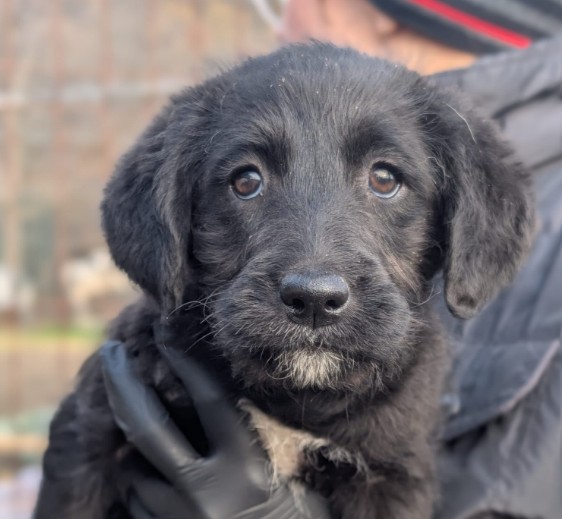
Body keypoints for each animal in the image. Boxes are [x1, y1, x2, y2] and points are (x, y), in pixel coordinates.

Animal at [35, 43, 535, 519]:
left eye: (384, 178)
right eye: (246, 181)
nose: (314, 300)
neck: (296, 401)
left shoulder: (393, 474)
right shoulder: (88, 434)